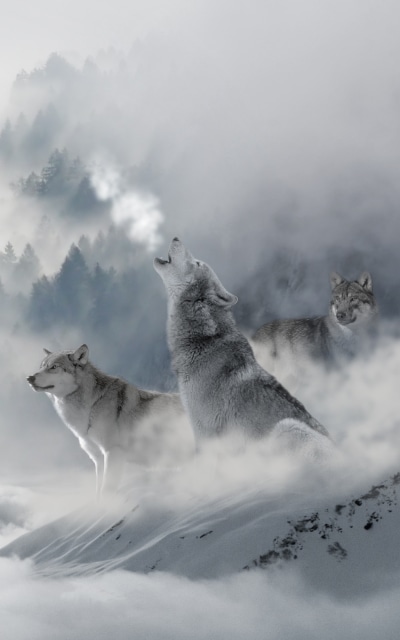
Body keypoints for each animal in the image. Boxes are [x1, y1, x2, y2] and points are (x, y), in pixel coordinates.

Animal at [27, 344, 192, 495]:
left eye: (54, 367)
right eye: (41, 367)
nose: (29, 378)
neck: (91, 406)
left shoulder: (113, 453)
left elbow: (107, 491)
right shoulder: (99, 460)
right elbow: (98, 493)